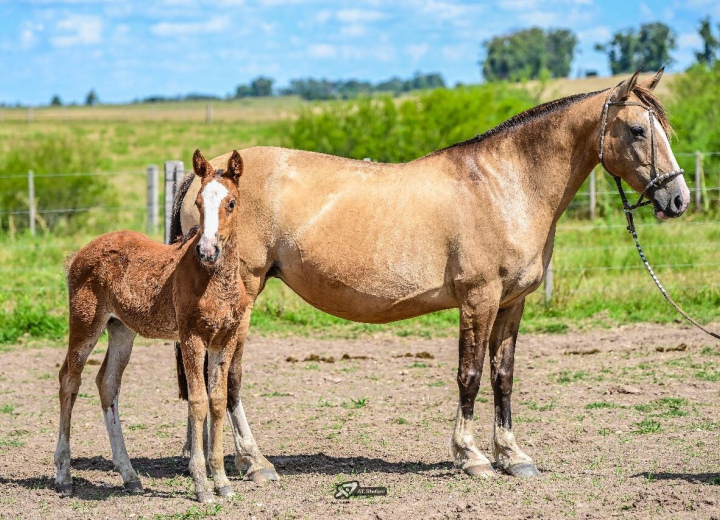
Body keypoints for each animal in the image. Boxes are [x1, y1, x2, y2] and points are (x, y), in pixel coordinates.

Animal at [53, 148, 248, 502]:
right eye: (198, 202)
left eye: (230, 203)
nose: (207, 249)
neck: (216, 280)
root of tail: (79, 254)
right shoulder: (191, 337)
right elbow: (198, 401)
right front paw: (201, 485)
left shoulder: (224, 339)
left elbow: (217, 400)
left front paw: (222, 482)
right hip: (85, 322)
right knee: (69, 380)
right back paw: (63, 475)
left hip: (120, 329)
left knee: (107, 383)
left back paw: (129, 475)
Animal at [172, 69, 688, 480]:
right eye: (638, 129)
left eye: (664, 128)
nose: (678, 198)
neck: (505, 185)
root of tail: (206, 177)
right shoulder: (479, 300)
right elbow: (470, 376)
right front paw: (471, 457)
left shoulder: (511, 304)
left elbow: (503, 376)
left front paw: (512, 456)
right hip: (242, 298)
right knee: (228, 375)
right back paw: (254, 463)